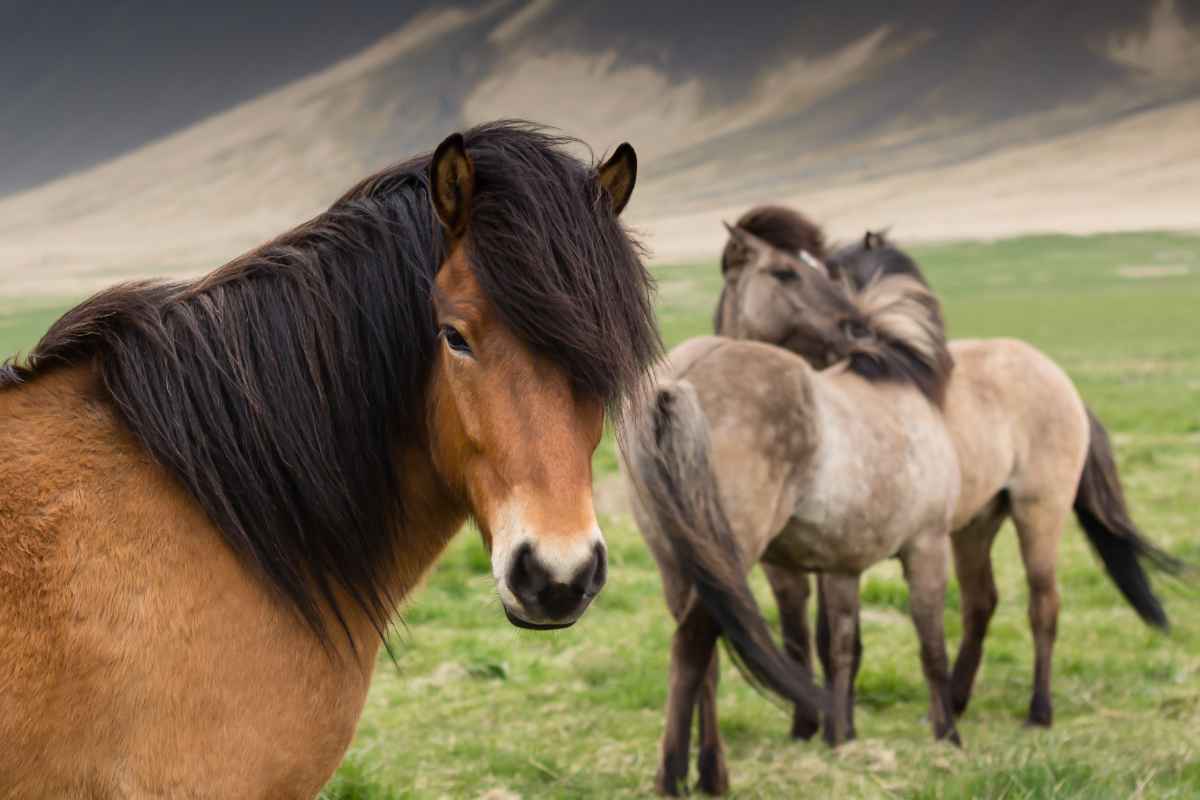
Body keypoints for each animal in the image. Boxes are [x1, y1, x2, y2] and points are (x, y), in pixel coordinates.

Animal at [624, 267, 960, 796]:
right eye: (788, 274)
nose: (846, 327)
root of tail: (676, 383)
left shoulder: (838, 566)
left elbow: (837, 646)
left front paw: (838, 733)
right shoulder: (926, 546)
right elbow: (932, 646)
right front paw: (948, 736)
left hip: (678, 563)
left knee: (705, 661)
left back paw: (712, 773)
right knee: (692, 649)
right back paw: (673, 775)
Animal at [715, 208, 1185, 738]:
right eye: (784, 272)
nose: (854, 328)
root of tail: (1056, 375)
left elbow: (834, 638)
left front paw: (841, 727)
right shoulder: (783, 565)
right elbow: (798, 637)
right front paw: (805, 727)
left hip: (1038, 512)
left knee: (1043, 604)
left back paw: (1038, 712)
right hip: (975, 525)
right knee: (981, 602)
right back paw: (954, 702)